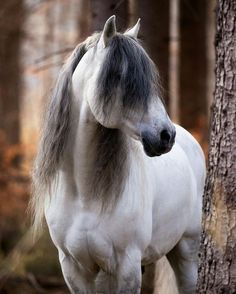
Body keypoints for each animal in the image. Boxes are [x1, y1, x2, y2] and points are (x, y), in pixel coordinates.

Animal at [32, 16, 206, 294]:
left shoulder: (127, 266)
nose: (166, 135)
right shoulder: (73, 268)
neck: (83, 195)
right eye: (118, 76)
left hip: (187, 251)